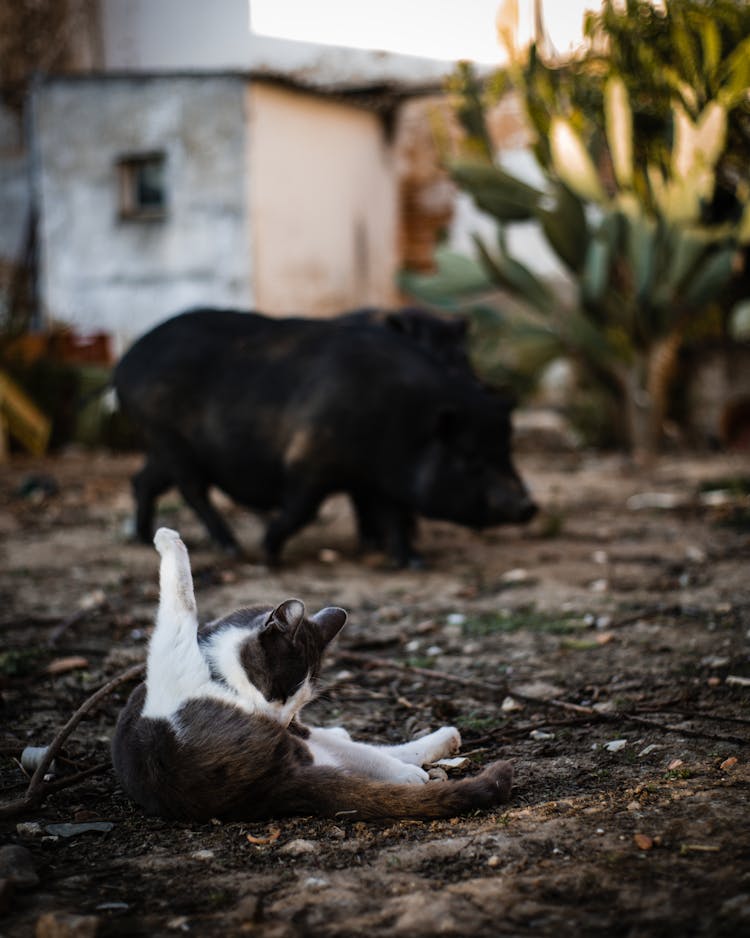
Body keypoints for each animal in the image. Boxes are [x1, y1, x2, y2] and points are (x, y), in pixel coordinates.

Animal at [111, 528, 516, 820]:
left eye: (299, 699)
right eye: (278, 691)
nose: (280, 719)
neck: (218, 674)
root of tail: (266, 789)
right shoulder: (173, 658)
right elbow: (179, 600)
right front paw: (167, 539)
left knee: (353, 750)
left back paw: (439, 742)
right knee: (350, 755)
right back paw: (415, 765)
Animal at [114, 308, 536, 564]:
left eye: (507, 449)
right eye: (470, 458)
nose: (529, 506)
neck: (401, 418)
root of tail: (125, 364)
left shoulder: (379, 478)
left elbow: (393, 515)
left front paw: (411, 561)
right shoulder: (310, 460)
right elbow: (302, 510)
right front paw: (268, 552)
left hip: (162, 446)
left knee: (143, 480)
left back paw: (141, 537)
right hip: (169, 438)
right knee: (193, 491)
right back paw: (232, 548)